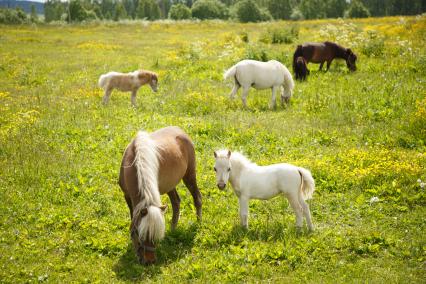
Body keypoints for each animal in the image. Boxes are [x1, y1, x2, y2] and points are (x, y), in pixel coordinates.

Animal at [117, 126, 202, 264]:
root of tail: (181, 131)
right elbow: (132, 219)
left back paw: (199, 222)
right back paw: (173, 229)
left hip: (189, 175)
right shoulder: (127, 196)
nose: (150, 261)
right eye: (141, 235)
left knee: (197, 198)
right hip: (170, 185)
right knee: (176, 202)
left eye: (155, 235)